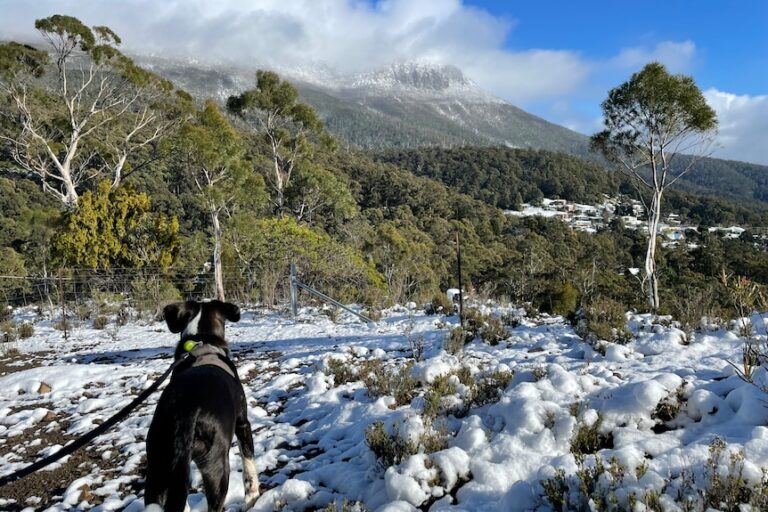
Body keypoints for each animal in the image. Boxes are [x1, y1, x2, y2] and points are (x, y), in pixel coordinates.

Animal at [144, 300, 260, 512]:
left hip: (159, 468)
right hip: (216, 466)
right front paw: (252, 498)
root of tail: (184, 412)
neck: (202, 344)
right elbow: (248, 462)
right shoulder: (243, 423)